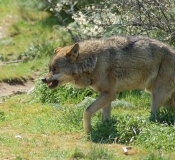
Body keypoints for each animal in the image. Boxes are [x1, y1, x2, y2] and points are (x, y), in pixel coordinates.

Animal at [41, 36, 175, 132]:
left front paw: (88, 130)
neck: (94, 61)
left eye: (55, 69)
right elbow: (104, 116)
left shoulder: (110, 94)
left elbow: (87, 110)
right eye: (49, 68)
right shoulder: (105, 94)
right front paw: (105, 127)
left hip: (156, 94)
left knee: (154, 117)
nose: (43, 79)